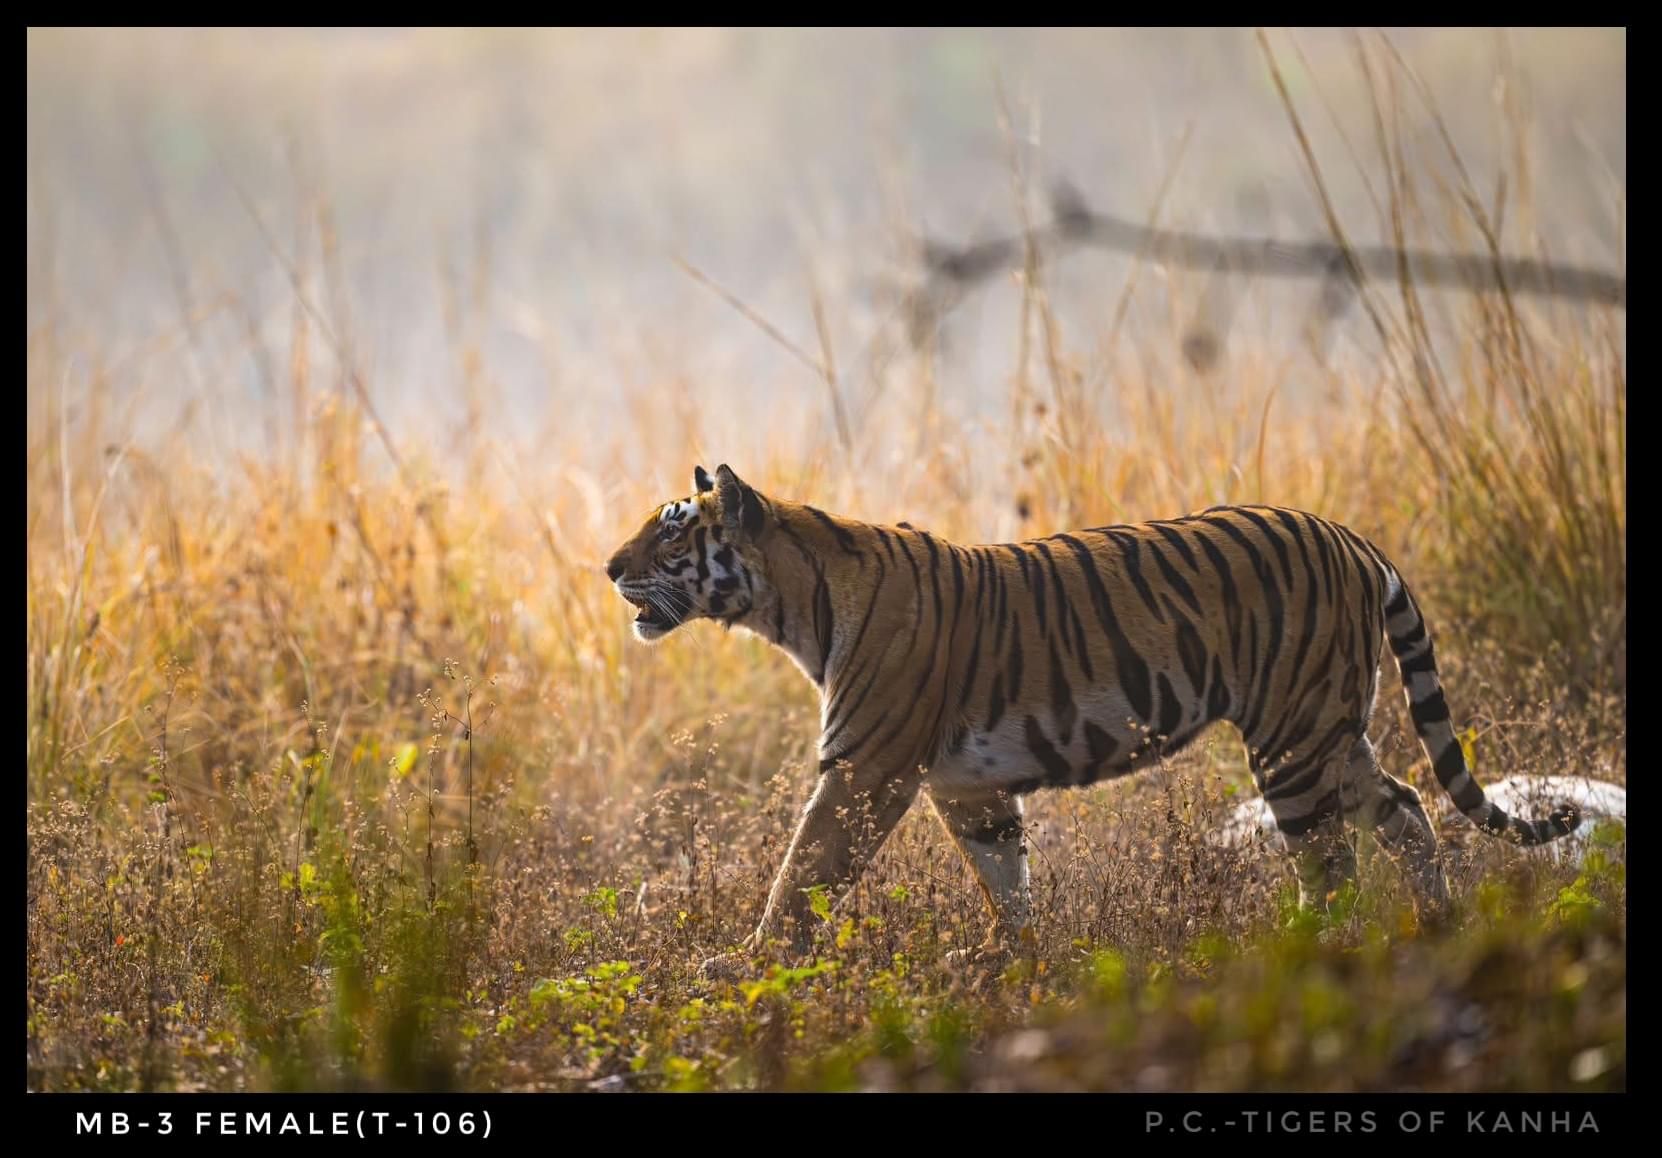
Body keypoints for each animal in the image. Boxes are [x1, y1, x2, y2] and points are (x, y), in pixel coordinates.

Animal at [605, 464, 1583, 964]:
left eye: (670, 532)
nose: (607, 567)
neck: (791, 604)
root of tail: (1350, 536)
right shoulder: (966, 786)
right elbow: (1005, 877)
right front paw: (1013, 962)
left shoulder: (864, 770)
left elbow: (802, 873)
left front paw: (749, 965)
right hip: (1332, 731)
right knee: (1409, 812)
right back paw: (1438, 928)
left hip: (1294, 738)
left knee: (1332, 864)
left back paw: (1309, 948)